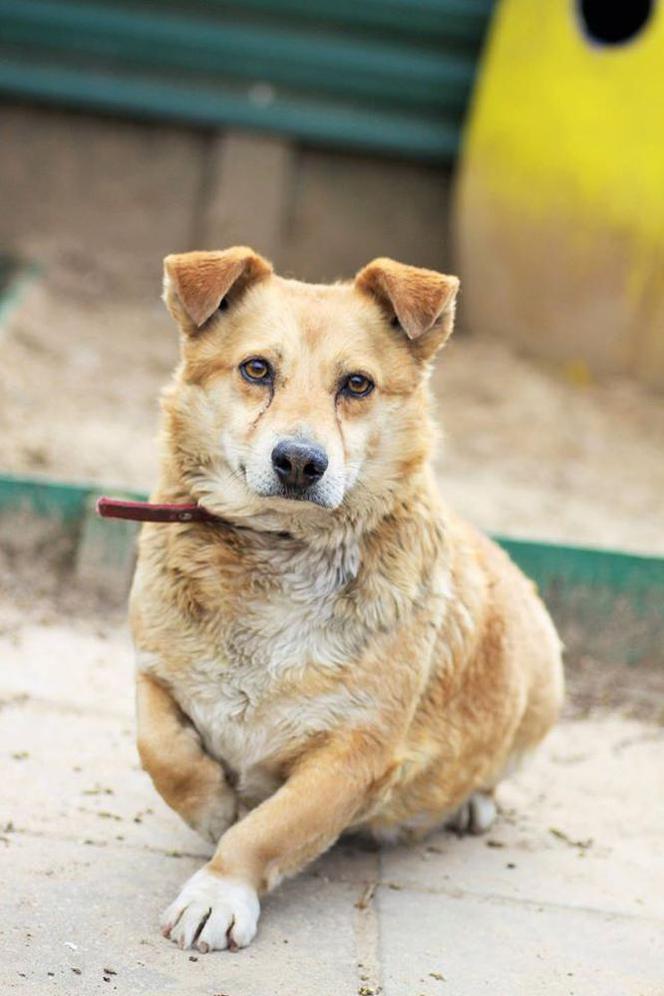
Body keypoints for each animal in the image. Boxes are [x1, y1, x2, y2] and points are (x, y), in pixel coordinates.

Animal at [131, 247, 564, 948]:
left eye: (357, 385)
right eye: (257, 369)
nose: (300, 462)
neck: (278, 552)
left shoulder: (356, 756)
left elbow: (267, 831)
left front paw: (219, 890)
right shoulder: (153, 674)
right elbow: (166, 755)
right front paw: (215, 806)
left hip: (541, 694)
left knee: (492, 770)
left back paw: (472, 801)